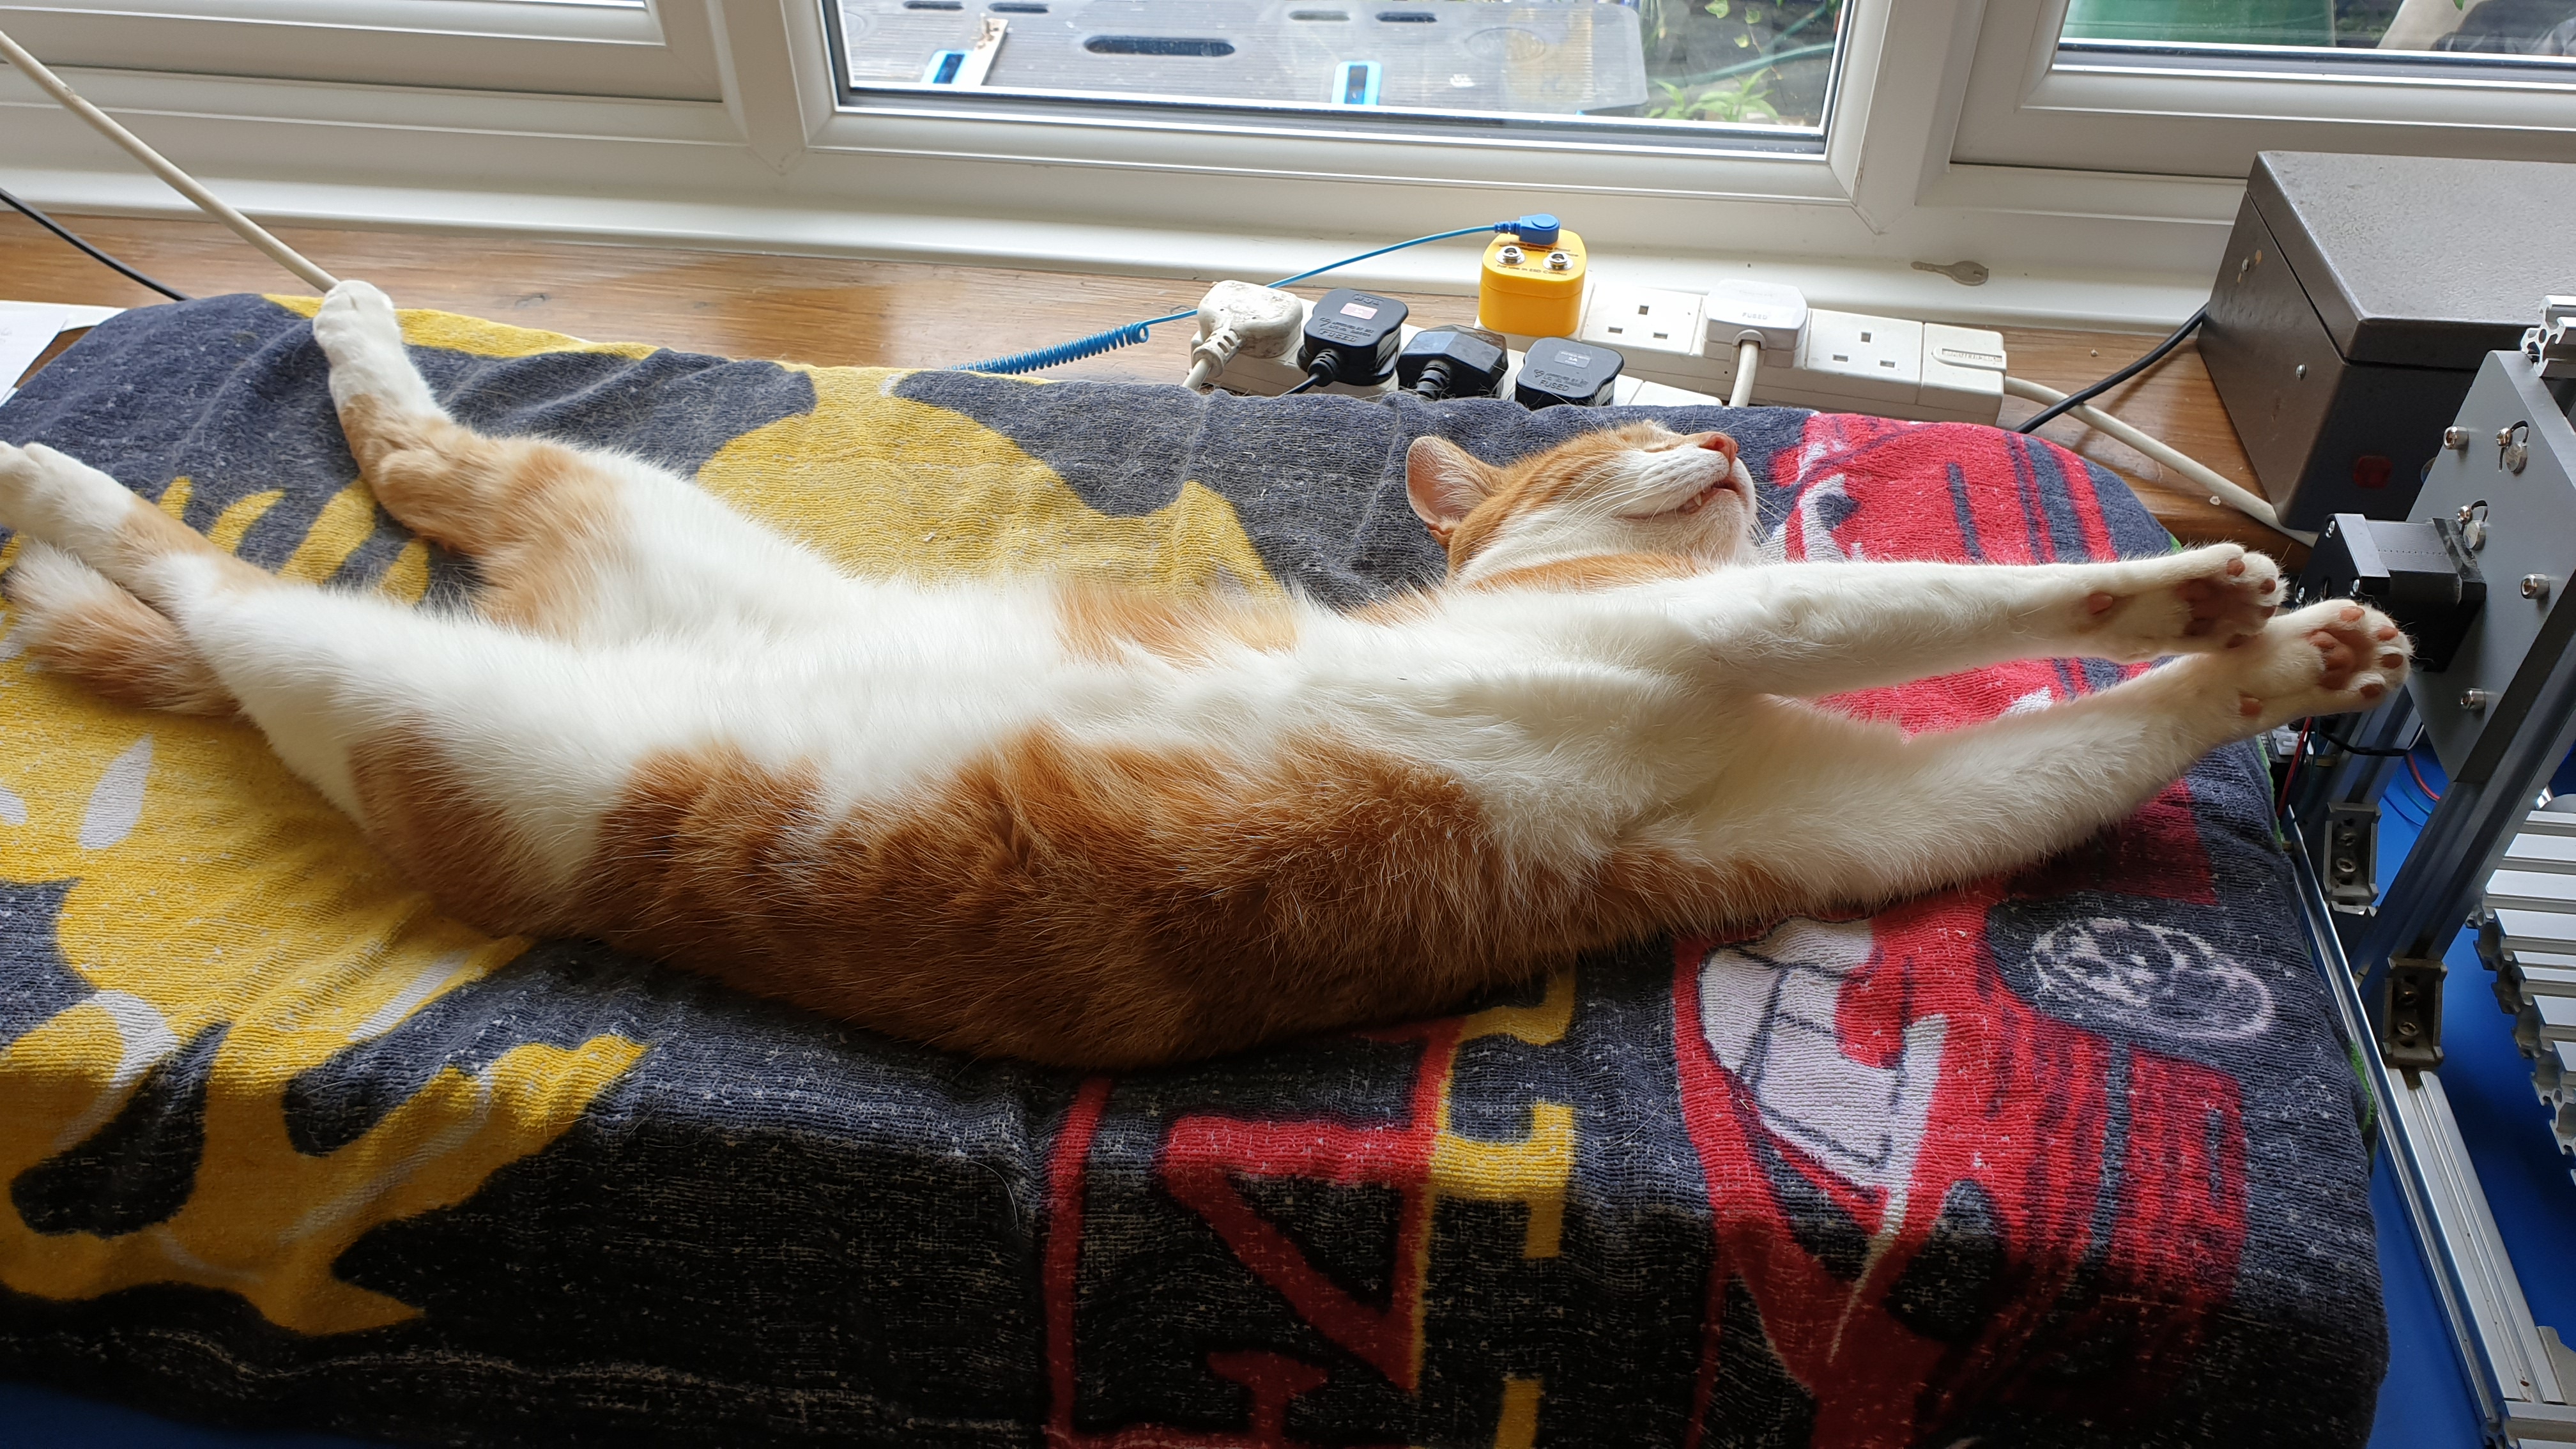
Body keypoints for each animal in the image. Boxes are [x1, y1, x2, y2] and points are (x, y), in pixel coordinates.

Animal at [0, 281, 2408, 1069]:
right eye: (1612, 443)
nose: (1731, 445)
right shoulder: (1701, 631)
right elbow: (1933, 601)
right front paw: (2200, 581)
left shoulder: (1859, 808)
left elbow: (2048, 751)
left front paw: (2306, 645)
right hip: (401, 678)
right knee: (238, 546)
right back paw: (55, 470)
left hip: (564, 536)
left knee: (387, 494)